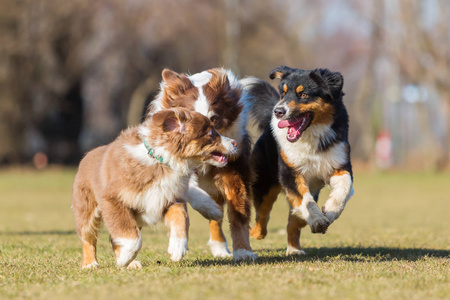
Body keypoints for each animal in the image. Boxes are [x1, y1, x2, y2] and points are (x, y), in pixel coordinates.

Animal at [72, 106, 237, 268]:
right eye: (211, 133)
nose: (235, 143)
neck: (161, 162)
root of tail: (88, 154)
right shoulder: (112, 200)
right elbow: (131, 237)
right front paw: (124, 258)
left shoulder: (170, 198)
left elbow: (181, 219)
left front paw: (177, 248)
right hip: (86, 208)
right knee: (88, 238)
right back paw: (90, 264)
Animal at [244, 65, 354, 255]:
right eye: (283, 93)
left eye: (303, 94)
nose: (278, 111)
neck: (310, 137)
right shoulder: (291, 173)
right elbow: (306, 201)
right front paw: (318, 220)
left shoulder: (339, 164)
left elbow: (344, 188)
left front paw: (330, 211)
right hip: (264, 183)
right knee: (262, 215)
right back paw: (256, 233)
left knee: (294, 222)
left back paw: (294, 250)